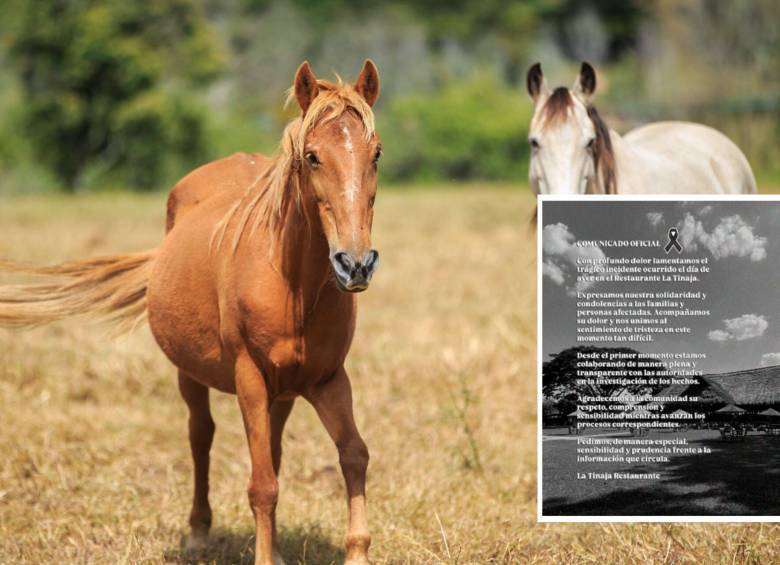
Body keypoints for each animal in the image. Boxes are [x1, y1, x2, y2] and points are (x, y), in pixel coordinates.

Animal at [0, 60, 382, 565]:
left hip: (282, 391)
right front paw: (263, 556)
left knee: (271, 450)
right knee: (201, 437)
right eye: (313, 156)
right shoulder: (249, 377)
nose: (355, 263)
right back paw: (199, 533)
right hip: (191, 374)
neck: (292, 284)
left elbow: (353, 455)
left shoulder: (328, 379)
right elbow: (262, 484)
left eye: (376, 154)